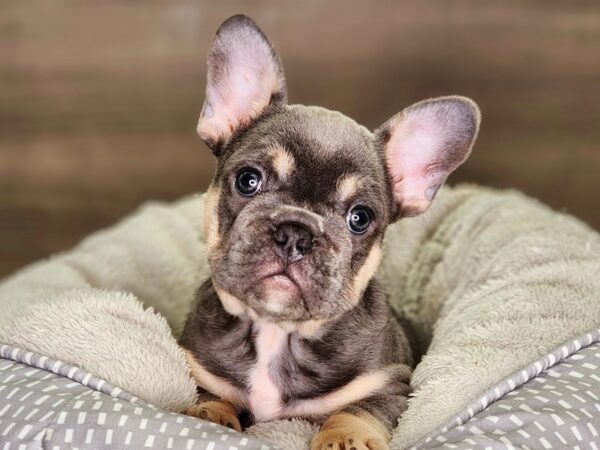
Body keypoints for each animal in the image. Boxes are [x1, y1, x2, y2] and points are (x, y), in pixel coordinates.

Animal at [180, 14, 480, 450]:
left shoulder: (391, 385)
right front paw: (208, 416)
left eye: (360, 218)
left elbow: (358, 409)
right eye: (248, 180)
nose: (296, 233)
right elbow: (211, 393)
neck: (277, 331)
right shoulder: (198, 367)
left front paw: (346, 438)